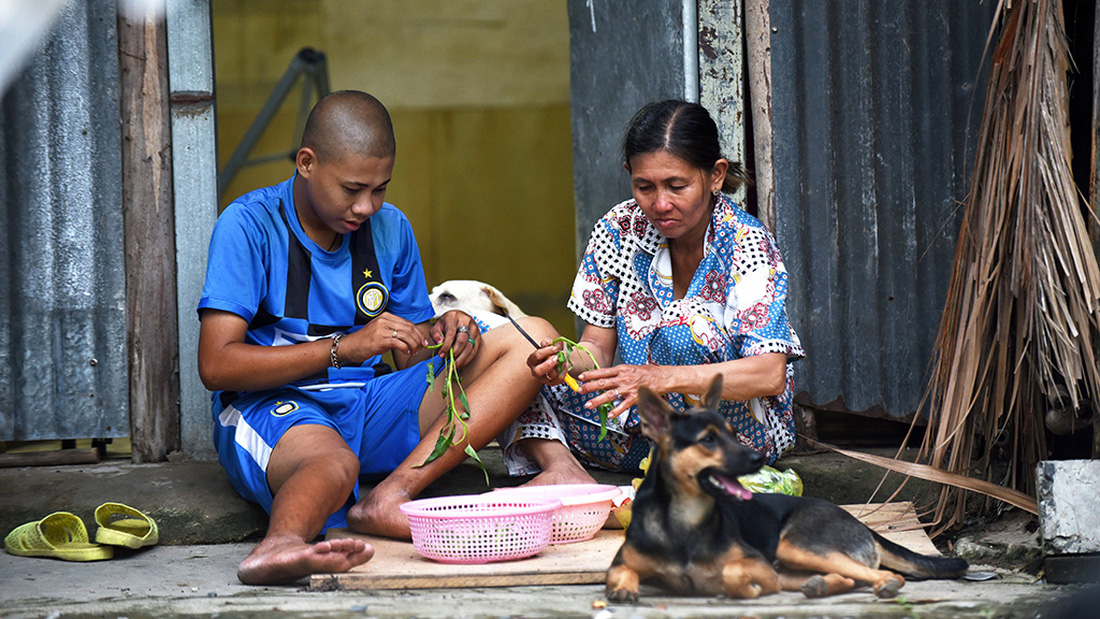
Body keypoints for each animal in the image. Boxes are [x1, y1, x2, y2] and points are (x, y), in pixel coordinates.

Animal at [611, 376, 972, 602]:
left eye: (732, 433)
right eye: (709, 439)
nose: (758, 458)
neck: (683, 518)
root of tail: (858, 522)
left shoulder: (759, 565)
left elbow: (733, 573)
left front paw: (743, 588)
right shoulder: (618, 565)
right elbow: (622, 575)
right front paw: (624, 590)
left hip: (798, 547)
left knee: (884, 575)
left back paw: (875, 586)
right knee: (850, 577)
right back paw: (819, 585)